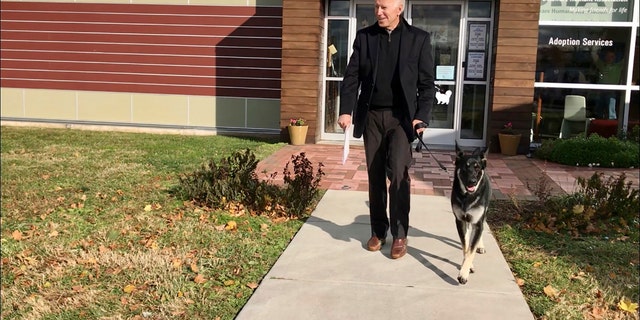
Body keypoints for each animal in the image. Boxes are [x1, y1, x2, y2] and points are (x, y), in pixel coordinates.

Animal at [450, 142, 490, 284]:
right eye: (465, 167)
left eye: (477, 168)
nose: (472, 181)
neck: (467, 196)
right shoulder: (460, 221)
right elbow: (466, 246)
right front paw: (467, 266)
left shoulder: (477, 221)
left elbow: (471, 249)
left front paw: (464, 273)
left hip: (483, 214)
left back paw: (480, 245)